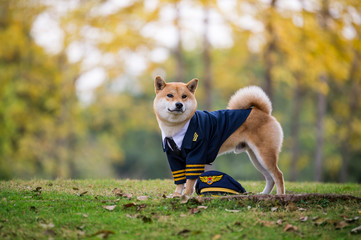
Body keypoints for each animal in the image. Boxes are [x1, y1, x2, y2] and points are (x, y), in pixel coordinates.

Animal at [152, 76, 284, 198]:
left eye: (184, 96)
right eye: (170, 95)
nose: (179, 104)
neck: (177, 127)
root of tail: (264, 112)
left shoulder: (196, 156)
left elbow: (189, 180)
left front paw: (186, 195)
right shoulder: (174, 158)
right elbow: (180, 180)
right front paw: (177, 194)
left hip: (264, 154)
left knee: (278, 175)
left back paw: (280, 195)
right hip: (256, 158)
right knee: (270, 178)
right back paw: (264, 194)